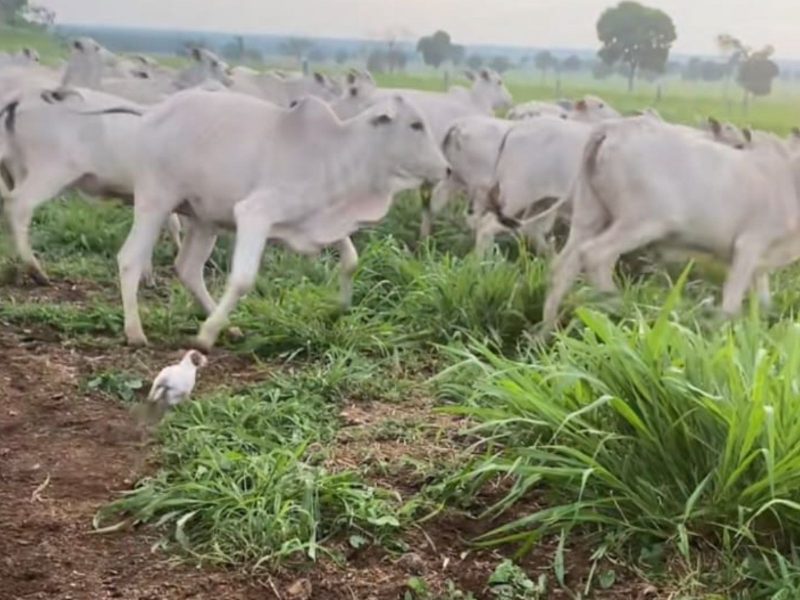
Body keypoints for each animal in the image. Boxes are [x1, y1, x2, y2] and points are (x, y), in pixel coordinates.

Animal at [113, 91, 450, 350]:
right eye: (415, 125)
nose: (447, 169)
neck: (338, 155)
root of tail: (153, 110)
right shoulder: (254, 213)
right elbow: (243, 278)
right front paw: (205, 336)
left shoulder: (319, 223)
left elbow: (351, 260)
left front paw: (338, 308)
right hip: (155, 200)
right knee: (130, 258)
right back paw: (136, 332)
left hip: (203, 220)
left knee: (188, 268)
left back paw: (228, 326)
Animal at [536, 115, 800, 326]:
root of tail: (614, 127)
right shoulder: (749, 245)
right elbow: (732, 302)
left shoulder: (760, 261)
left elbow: (764, 301)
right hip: (641, 222)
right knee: (595, 254)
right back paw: (619, 308)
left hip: (590, 215)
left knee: (563, 267)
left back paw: (546, 332)